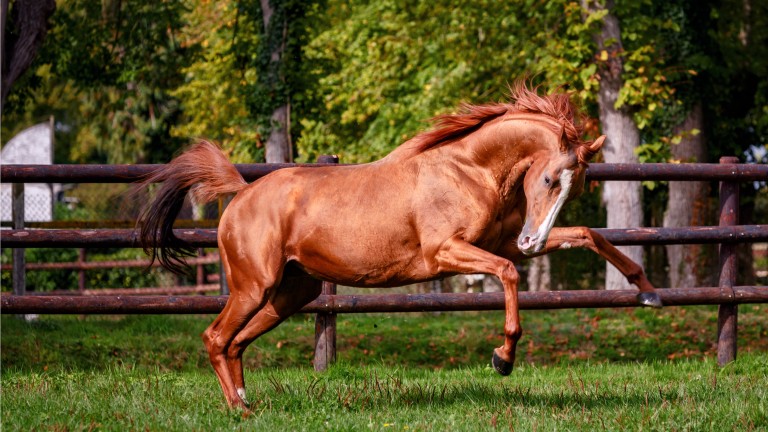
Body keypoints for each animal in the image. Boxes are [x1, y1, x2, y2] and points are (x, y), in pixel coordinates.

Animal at [137, 82, 662, 410]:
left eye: (578, 186)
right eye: (550, 178)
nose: (534, 239)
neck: (467, 169)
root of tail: (242, 191)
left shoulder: (502, 244)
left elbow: (588, 235)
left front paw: (648, 291)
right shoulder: (447, 252)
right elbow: (510, 275)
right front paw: (503, 358)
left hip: (291, 294)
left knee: (236, 342)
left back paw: (247, 402)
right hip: (254, 286)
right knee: (215, 338)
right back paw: (238, 410)